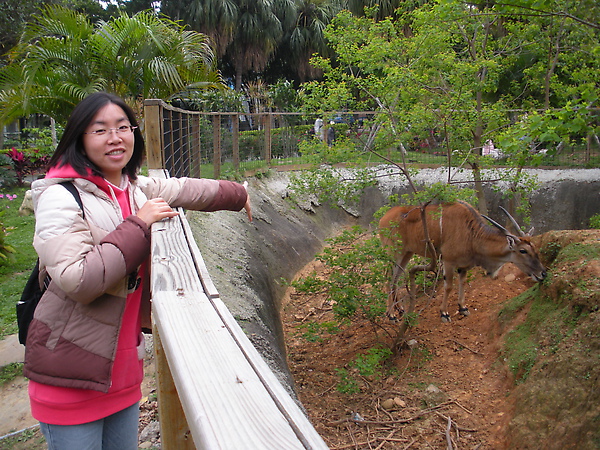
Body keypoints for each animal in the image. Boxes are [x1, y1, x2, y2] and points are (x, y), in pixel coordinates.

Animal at [380, 200, 548, 320]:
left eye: (535, 248)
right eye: (523, 251)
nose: (543, 273)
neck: (472, 234)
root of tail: (383, 219)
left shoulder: (464, 265)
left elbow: (463, 282)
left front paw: (463, 308)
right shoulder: (448, 261)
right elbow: (449, 286)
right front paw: (444, 313)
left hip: (407, 253)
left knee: (396, 278)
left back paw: (400, 309)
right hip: (394, 252)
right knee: (388, 278)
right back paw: (391, 314)